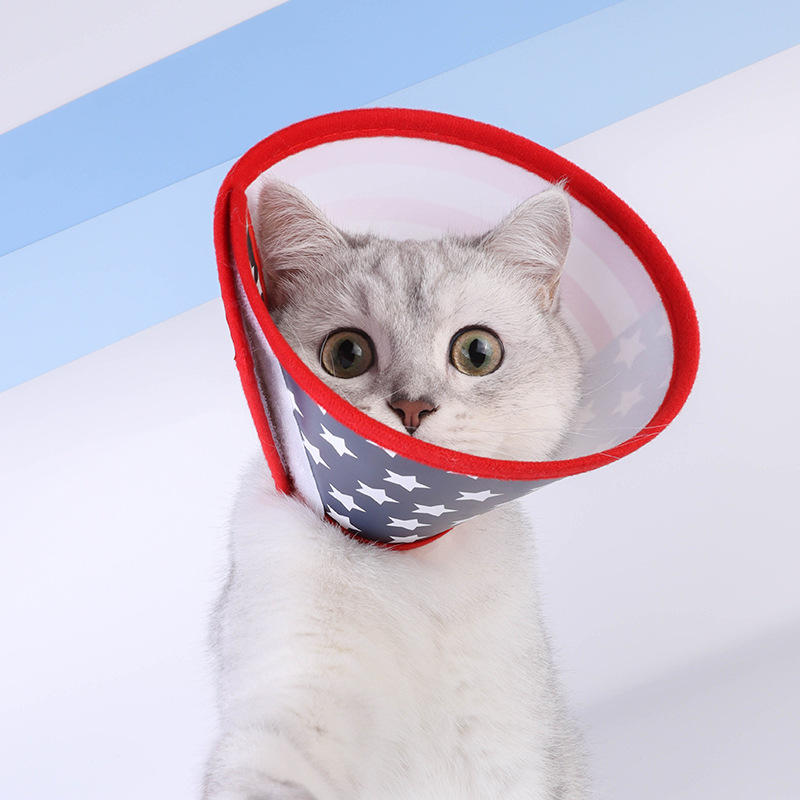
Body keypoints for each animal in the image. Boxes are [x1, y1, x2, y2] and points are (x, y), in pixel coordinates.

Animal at [203, 180, 586, 799]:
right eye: (347, 354)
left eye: (477, 352)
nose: (412, 408)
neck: (409, 564)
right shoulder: (299, 684)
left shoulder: (513, 743)